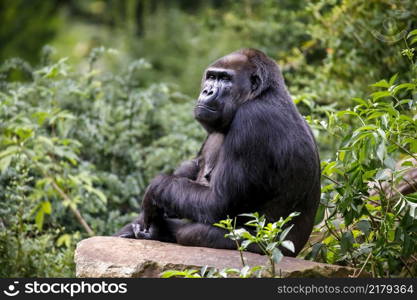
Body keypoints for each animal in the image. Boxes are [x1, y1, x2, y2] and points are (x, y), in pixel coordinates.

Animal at [114, 48, 318, 256]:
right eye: (212, 77)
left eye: (226, 79)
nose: (207, 91)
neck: (263, 93)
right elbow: (193, 166)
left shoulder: (253, 119)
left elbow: (219, 203)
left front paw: (154, 190)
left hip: (270, 247)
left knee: (193, 233)